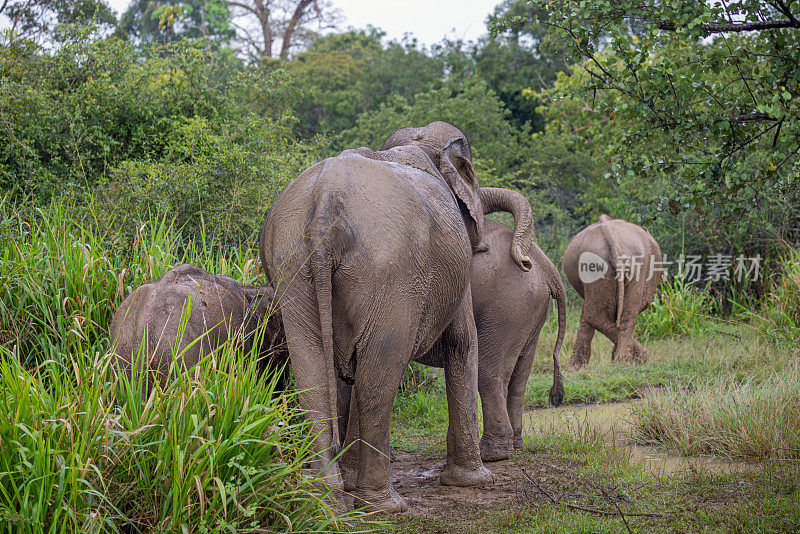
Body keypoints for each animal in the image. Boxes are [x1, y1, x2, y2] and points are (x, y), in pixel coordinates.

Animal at [260, 121, 536, 516]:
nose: (525, 261)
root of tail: (324, 203)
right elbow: (462, 342)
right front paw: (475, 482)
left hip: (292, 263)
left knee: (314, 372)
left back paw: (327, 502)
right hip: (393, 273)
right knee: (379, 376)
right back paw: (381, 505)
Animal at [560, 214, 660, 368]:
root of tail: (610, 234)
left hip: (600, 266)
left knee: (596, 312)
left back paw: (622, 360)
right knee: (604, 313)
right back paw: (630, 359)